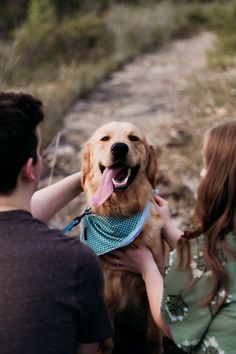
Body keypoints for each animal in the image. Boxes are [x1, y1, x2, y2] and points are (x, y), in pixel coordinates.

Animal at [80, 122, 168, 354]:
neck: (119, 214)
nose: (119, 148)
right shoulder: (104, 292)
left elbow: (153, 335)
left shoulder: (153, 282)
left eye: (134, 138)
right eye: (105, 138)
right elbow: (106, 341)